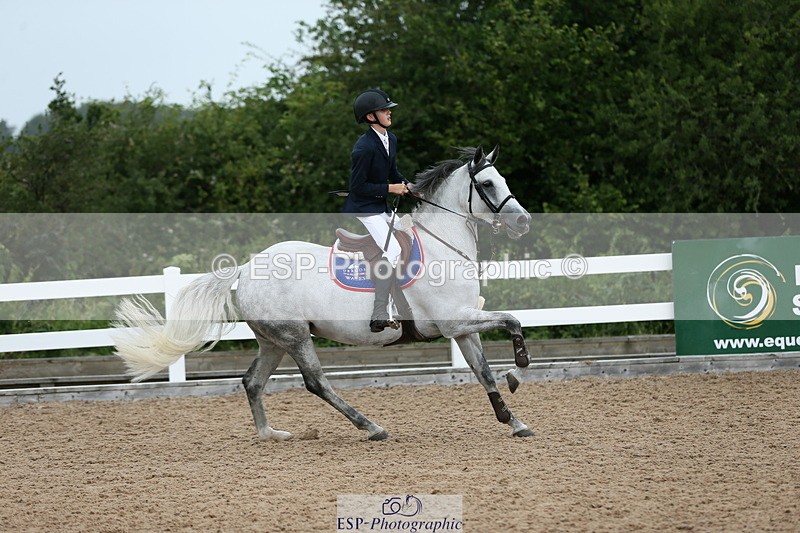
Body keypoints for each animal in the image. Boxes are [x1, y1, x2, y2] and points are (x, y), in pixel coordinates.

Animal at [112, 145, 534, 441]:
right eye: (487, 184)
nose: (524, 222)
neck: (442, 244)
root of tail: (246, 269)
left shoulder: (462, 326)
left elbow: (484, 371)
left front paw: (514, 421)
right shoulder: (454, 321)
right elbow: (513, 321)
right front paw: (518, 371)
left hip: (273, 340)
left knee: (253, 382)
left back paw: (270, 434)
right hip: (296, 335)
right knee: (315, 382)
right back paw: (371, 427)